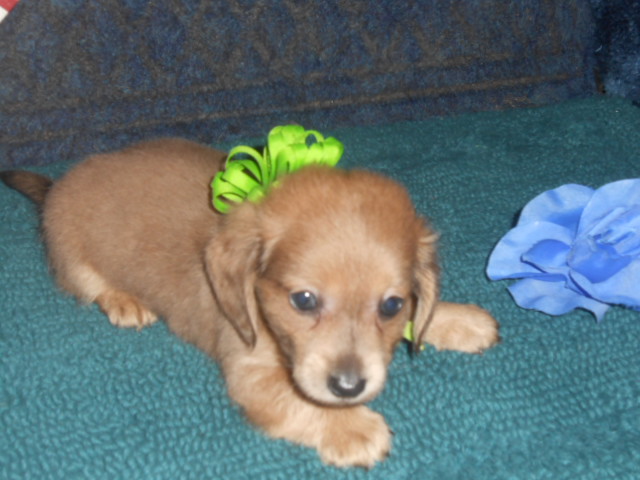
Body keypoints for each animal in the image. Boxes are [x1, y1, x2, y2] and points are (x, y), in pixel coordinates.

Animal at [0, 139, 500, 468]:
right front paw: (352, 428)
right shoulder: (253, 375)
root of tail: (56, 184)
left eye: (392, 306)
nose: (348, 387)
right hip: (71, 255)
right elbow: (300, 403)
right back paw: (124, 300)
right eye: (303, 300)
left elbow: (425, 313)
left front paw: (458, 320)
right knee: (89, 285)